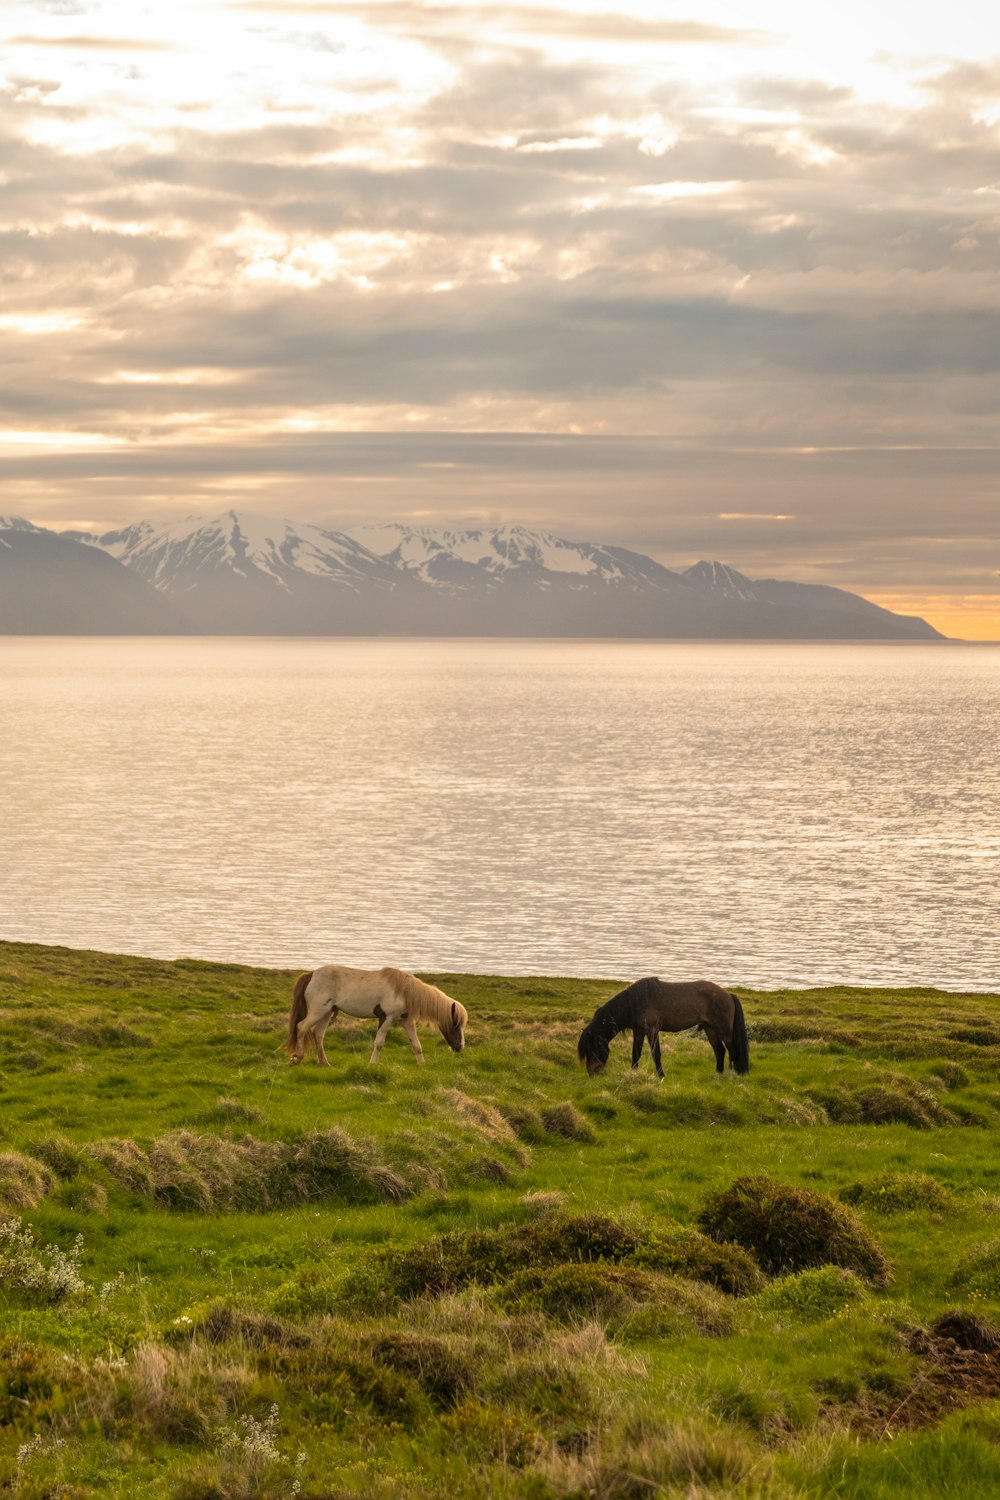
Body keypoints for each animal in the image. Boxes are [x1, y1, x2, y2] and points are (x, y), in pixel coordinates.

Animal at [284, 960, 464, 1068]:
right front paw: (372, 1064)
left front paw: (421, 1065)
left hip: (326, 1014)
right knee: (301, 1028)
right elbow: (379, 1043)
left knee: (318, 1034)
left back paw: (324, 1062)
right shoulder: (386, 1018)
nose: (460, 1047)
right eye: (456, 1026)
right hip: (317, 1012)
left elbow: (416, 1045)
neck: (404, 991)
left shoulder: (406, 1021)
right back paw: (297, 1058)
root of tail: (311, 975)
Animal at [578, 984, 749, 1080]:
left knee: (732, 1051)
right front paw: (633, 1074)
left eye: (592, 1049)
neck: (635, 1002)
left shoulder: (652, 1029)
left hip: (724, 1031)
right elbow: (636, 1053)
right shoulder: (639, 1031)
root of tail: (728, 995)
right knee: (720, 1051)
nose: (592, 1073)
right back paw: (718, 1074)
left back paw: (732, 1074)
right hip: (710, 1029)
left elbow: (656, 1053)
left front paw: (661, 1076)